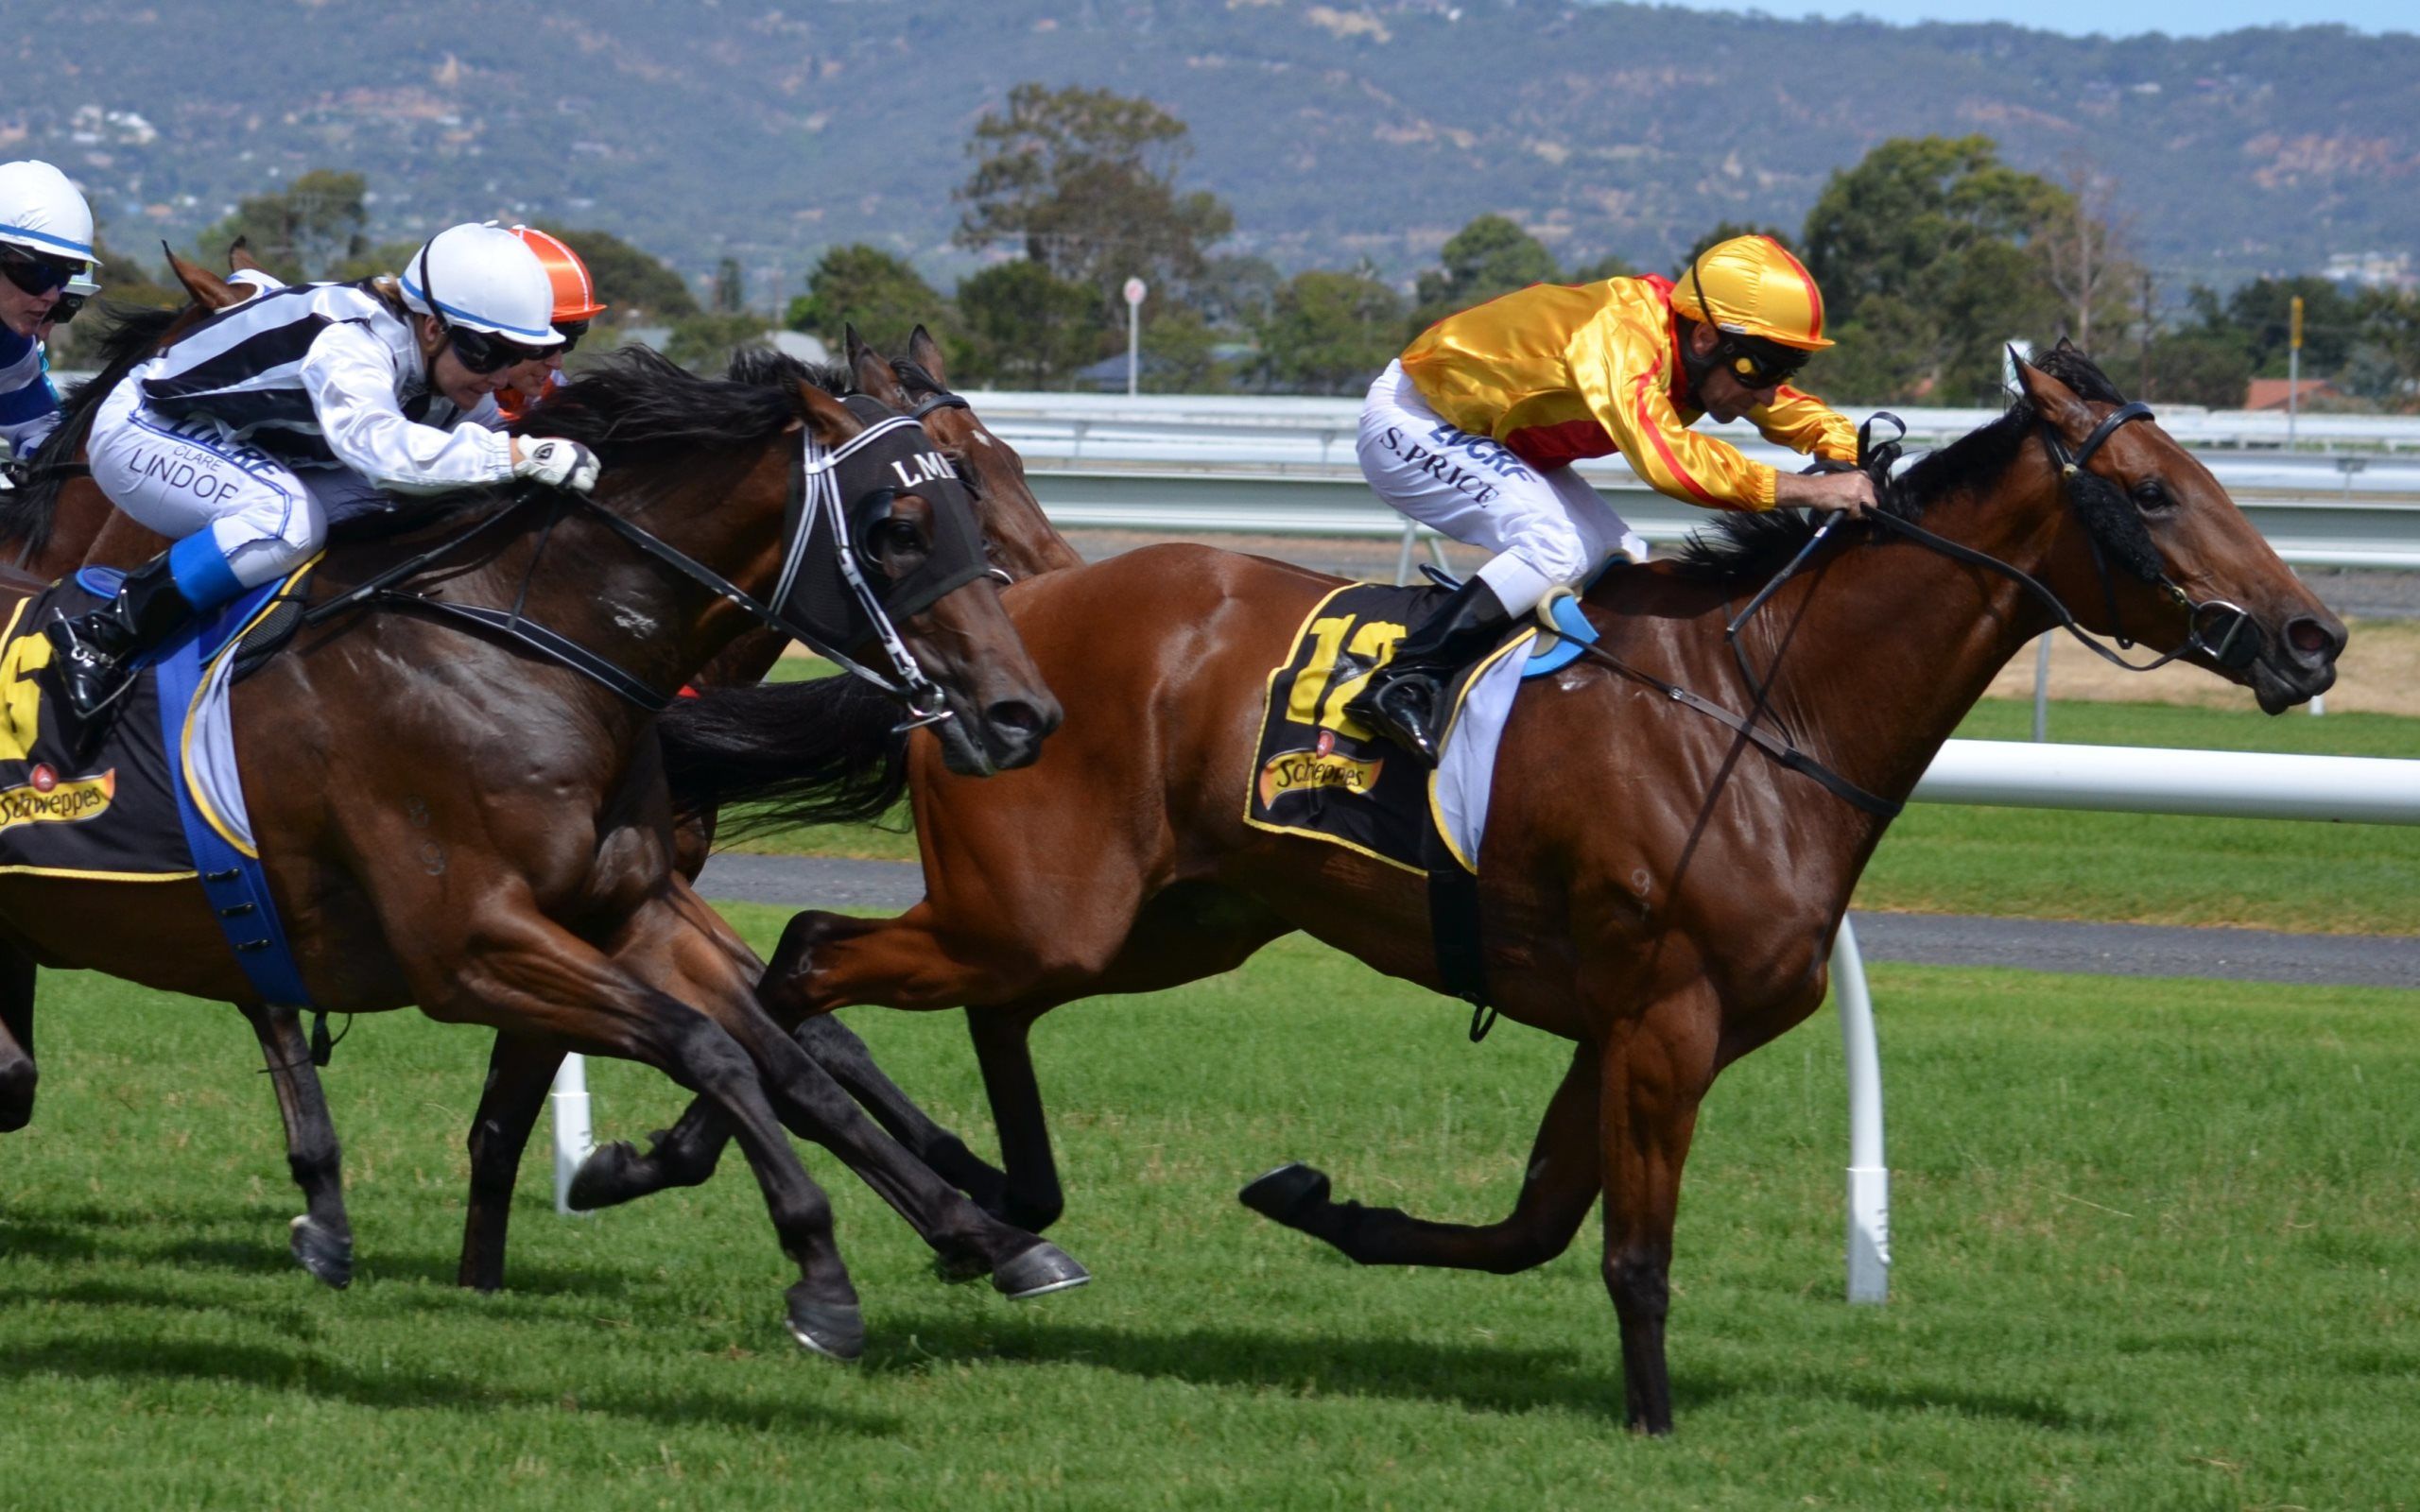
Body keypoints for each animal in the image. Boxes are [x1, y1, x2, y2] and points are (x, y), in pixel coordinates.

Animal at [0, 346, 1079, 1354]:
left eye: (985, 481)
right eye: (901, 526)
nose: (1023, 713)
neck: (524, 650)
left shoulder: (631, 910)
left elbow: (789, 1056)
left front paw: (988, 1230)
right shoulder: (472, 946)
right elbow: (706, 1049)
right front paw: (815, 1270)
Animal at [554, 346, 2342, 1422]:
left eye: (2221, 480)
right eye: (2160, 494)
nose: (2316, 635)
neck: (1764, 710)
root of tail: (977, 649)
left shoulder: (1616, 1023)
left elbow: (1532, 1231)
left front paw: (1319, 1203)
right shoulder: (1671, 1017)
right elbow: (1627, 1251)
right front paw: (1654, 1419)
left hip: (1160, 923)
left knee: (952, 999)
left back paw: (983, 1207)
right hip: (1044, 902)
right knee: (805, 955)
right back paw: (698, 1167)